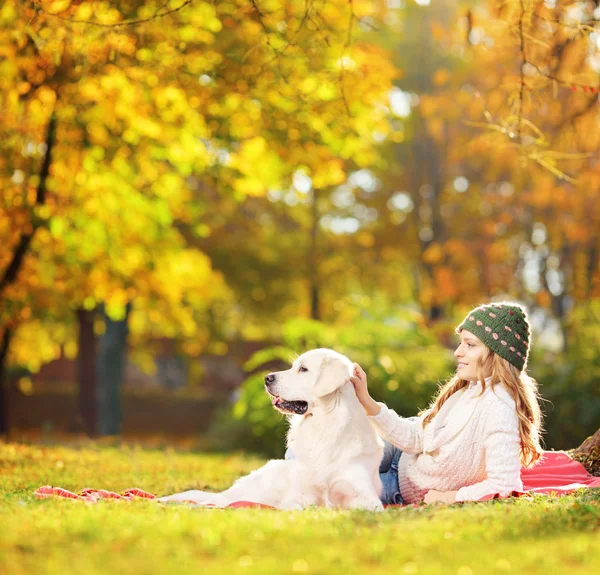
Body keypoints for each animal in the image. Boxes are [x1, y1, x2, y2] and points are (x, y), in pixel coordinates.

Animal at [158, 348, 384, 510]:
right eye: (294, 366)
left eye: (303, 369)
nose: (267, 378)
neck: (324, 427)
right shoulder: (298, 494)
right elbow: (297, 505)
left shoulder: (365, 497)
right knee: (220, 500)